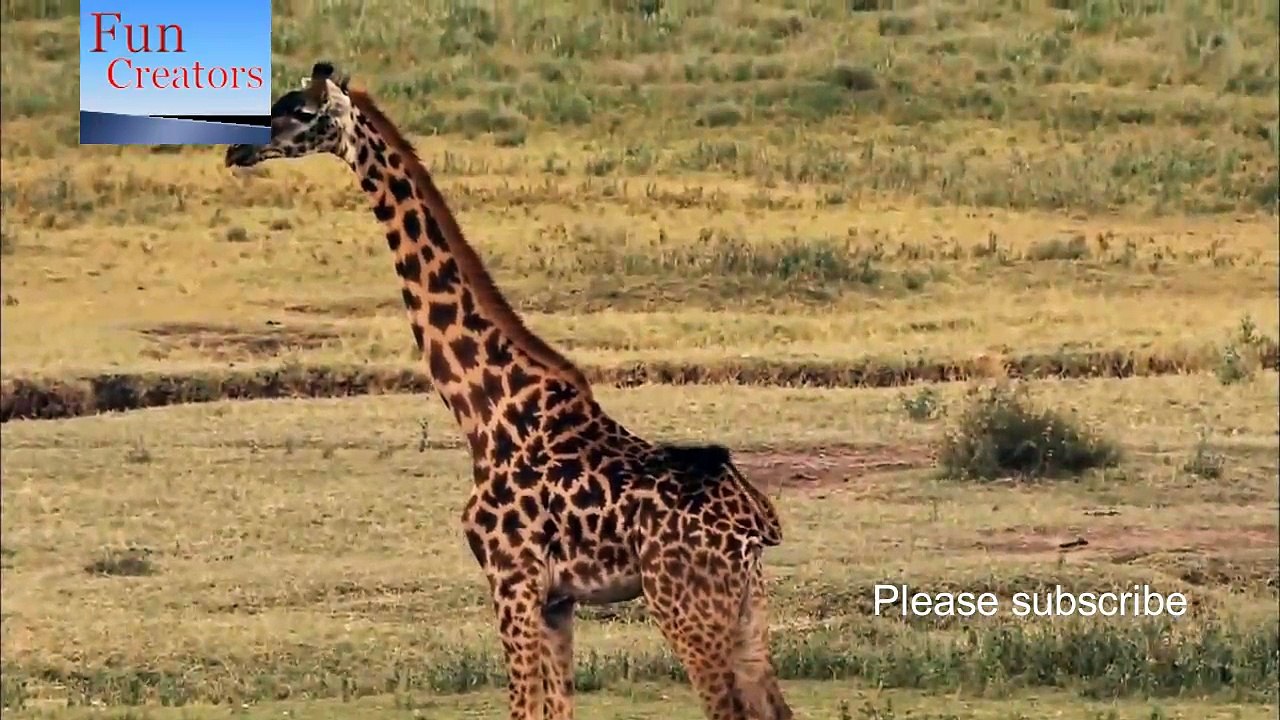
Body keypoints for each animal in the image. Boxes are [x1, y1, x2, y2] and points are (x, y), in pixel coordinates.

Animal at [224, 62, 793, 720]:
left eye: (299, 111)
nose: (236, 148)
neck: (487, 410)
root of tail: (757, 521)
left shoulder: (510, 577)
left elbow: (523, 706)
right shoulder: (557, 599)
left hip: (684, 602)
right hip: (745, 606)